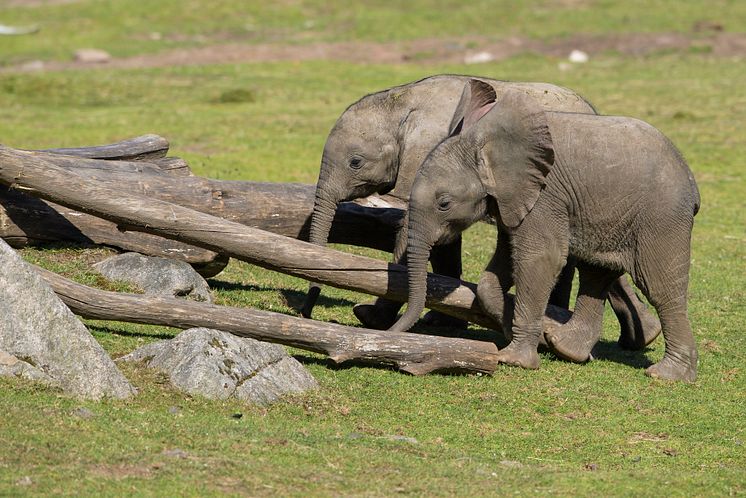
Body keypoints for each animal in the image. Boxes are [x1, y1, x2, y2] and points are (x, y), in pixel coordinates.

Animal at [390, 80, 696, 382]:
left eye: (444, 204)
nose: (392, 332)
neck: (485, 143)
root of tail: (689, 176)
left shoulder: (544, 195)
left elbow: (539, 258)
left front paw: (513, 359)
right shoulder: (510, 198)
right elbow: (499, 269)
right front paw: (523, 333)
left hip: (661, 215)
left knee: (659, 287)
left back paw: (668, 375)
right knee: (596, 274)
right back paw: (567, 348)